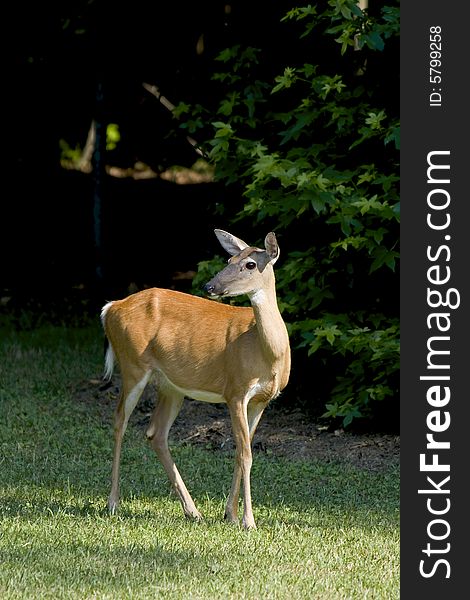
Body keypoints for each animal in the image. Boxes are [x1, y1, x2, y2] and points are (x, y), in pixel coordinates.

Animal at [101, 230, 288, 528]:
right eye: (229, 259)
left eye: (249, 264)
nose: (210, 286)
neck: (267, 353)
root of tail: (110, 308)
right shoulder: (235, 391)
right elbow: (245, 454)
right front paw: (248, 521)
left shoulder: (262, 400)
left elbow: (241, 451)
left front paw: (230, 515)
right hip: (132, 365)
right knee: (120, 421)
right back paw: (113, 503)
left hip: (171, 386)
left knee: (156, 433)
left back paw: (192, 511)